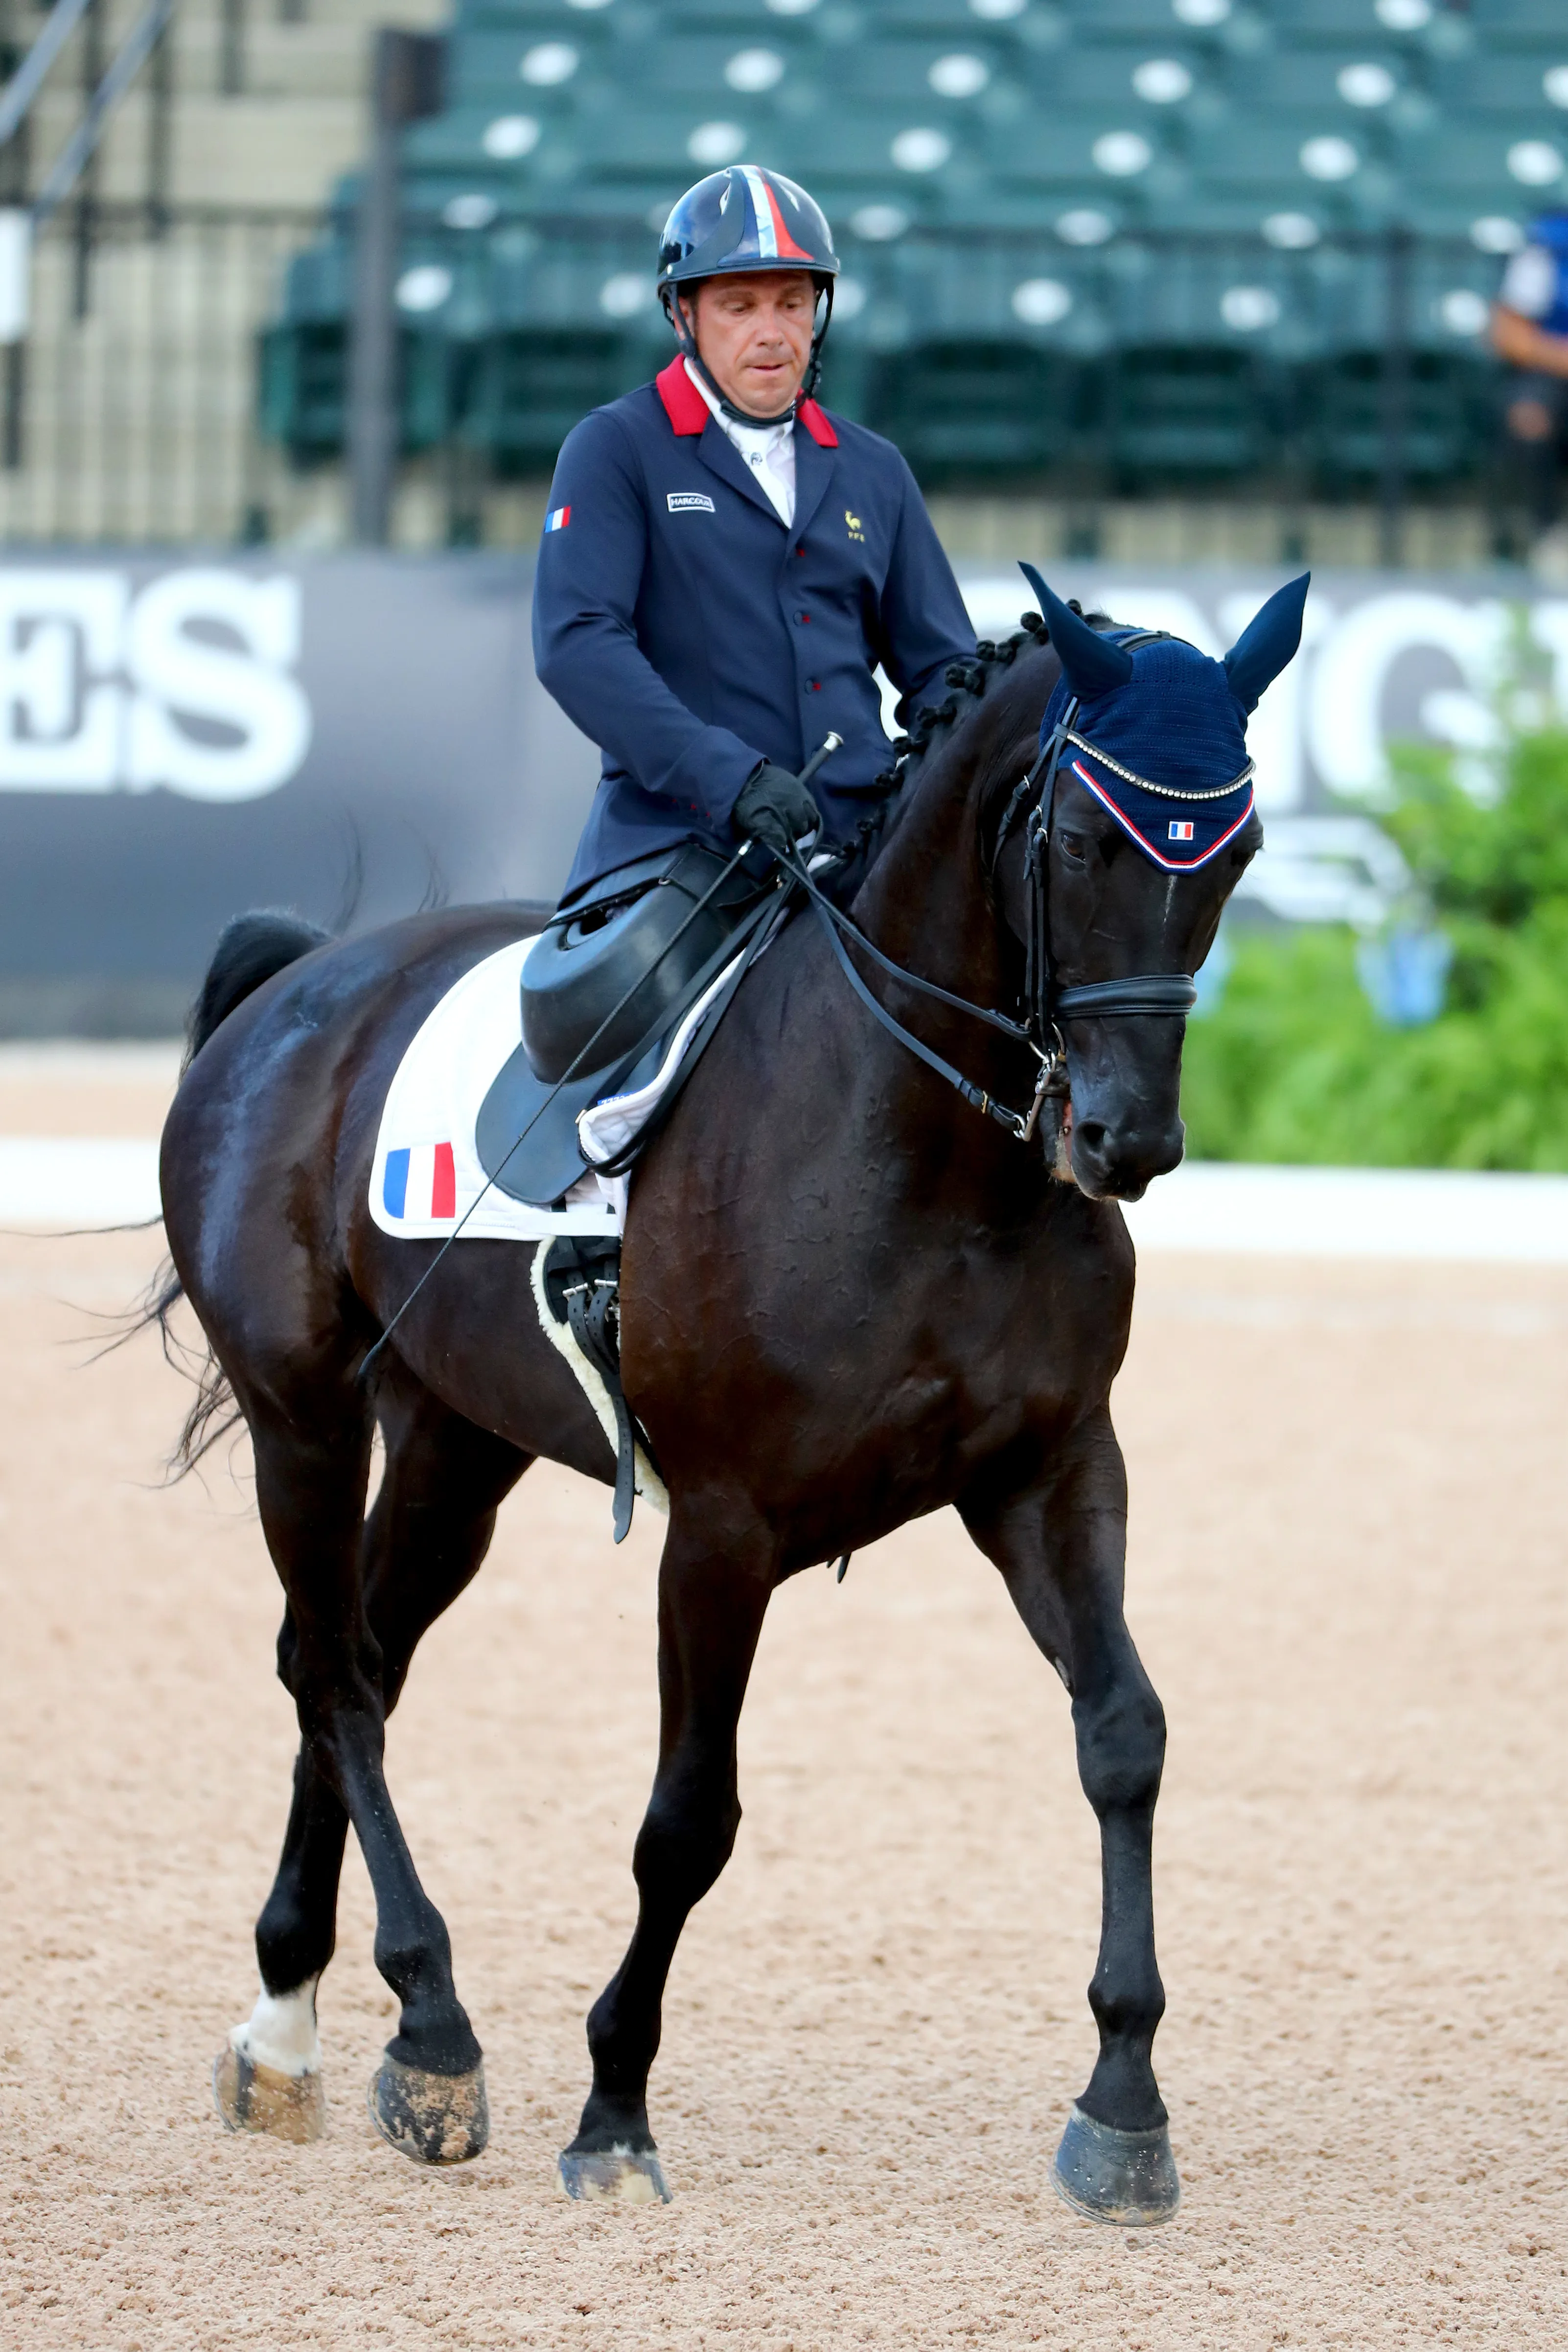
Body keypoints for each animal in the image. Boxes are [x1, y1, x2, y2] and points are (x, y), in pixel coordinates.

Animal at [152, 570, 1306, 2221]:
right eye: (1084, 842)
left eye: (1240, 854)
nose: (1124, 1138)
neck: (931, 1149)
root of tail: (306, 981)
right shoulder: (724, 1527)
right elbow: (688, 1820)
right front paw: (613, 2112)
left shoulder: (1052, 1473)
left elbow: (1124, 1737)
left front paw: (1124, 2107)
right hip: (299, 1417)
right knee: (337, 1671)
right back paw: (433, 2027)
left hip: (453, 1446)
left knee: (358, 1652)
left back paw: (290, 2024)